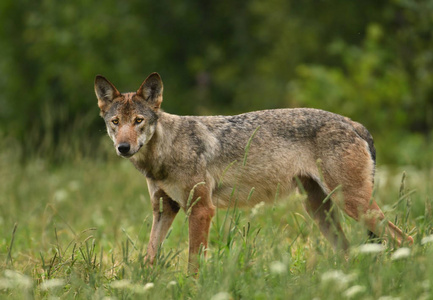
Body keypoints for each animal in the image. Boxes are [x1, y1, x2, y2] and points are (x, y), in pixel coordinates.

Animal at [93, 72, 412, 272]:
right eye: (115, 122)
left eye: (138, 121)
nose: (123, 147)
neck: (164, 153)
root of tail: (354, 124)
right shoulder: (163, 209)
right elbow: (149, 256)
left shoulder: (201, 209)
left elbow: (193, 263)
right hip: (320, 210)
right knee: (349, 251)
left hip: (352, 205)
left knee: (404, 240)